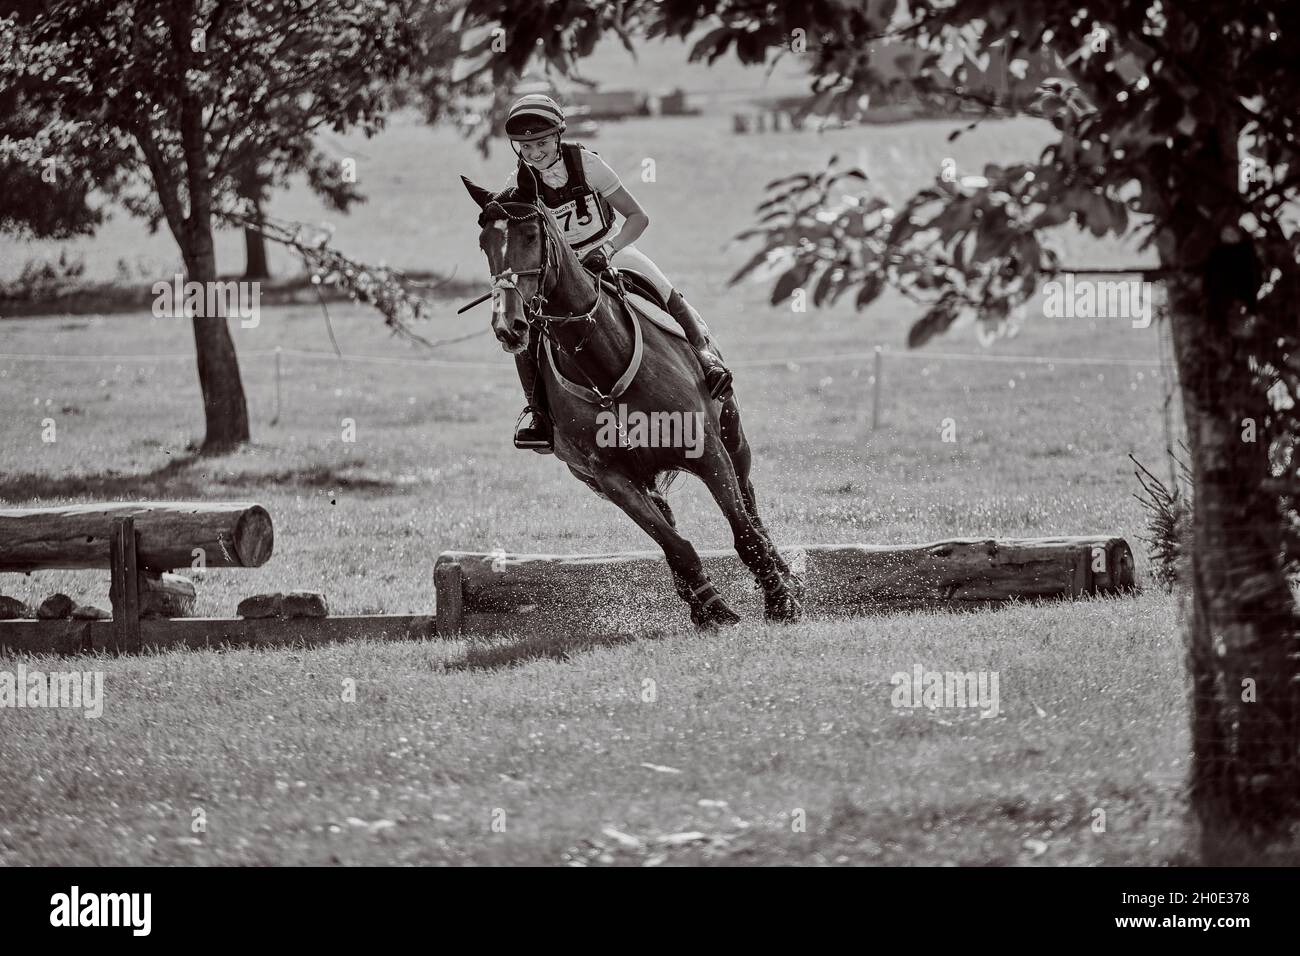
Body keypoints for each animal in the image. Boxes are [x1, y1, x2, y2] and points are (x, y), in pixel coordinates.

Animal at [457, 172, 800, 632]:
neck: (601, 362)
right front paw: (714, 610)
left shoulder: (708, 451)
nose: (508, 326)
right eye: (484, 243)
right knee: (670, 523)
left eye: (531, 234)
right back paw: (698, 603)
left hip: (733, 435)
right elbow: (677, 548)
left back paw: (783, 576)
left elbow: (744, 534)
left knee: (749, 502)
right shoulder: (612, 479)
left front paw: (781, 603)